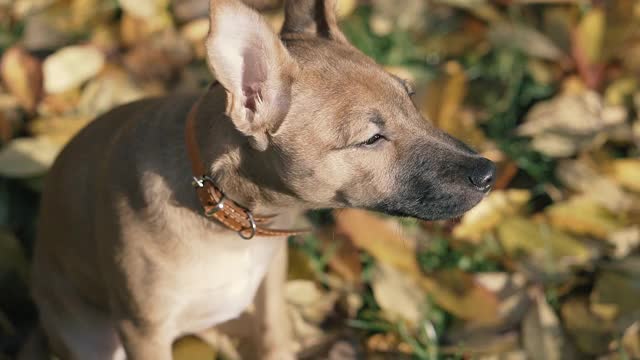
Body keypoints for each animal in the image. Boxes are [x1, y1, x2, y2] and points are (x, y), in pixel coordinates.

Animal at [22, 1, 496, 358]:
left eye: (411, 99)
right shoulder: (145, 331)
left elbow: (274, 334)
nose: (489, 174)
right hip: (92, 337)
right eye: (371, 139)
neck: (221, 205)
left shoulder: (270, 283)